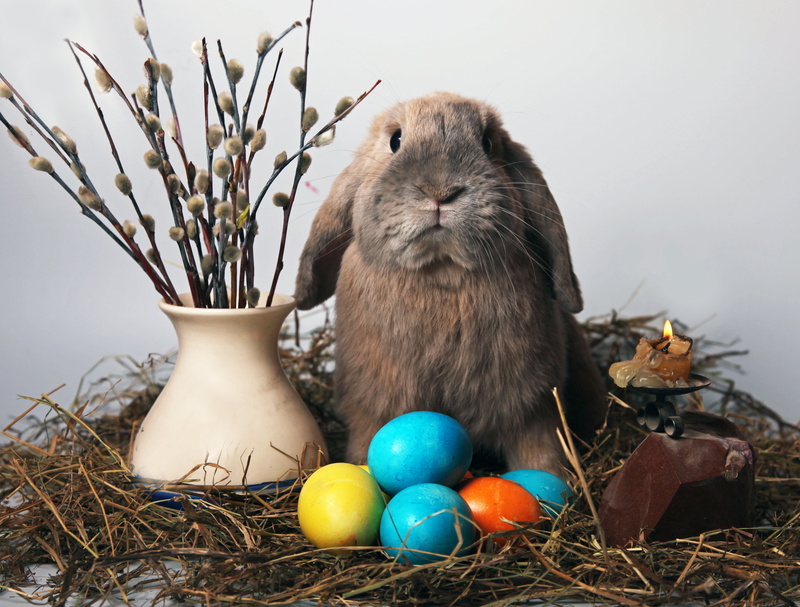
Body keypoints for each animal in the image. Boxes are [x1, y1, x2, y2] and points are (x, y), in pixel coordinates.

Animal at [294, 92, 607, 476]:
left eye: (488, 144)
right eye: (395, 140)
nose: (440, 191)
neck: (442, 271)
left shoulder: (535, 412)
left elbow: (541, 453)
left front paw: (553, 483)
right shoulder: (373, 413)